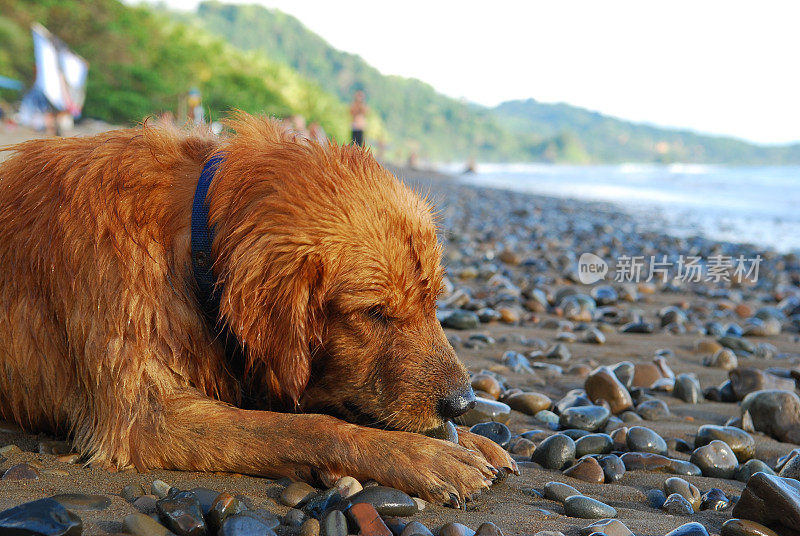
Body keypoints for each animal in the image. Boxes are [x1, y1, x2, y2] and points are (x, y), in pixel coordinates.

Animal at [0, 114, 516, 506]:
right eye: (373, 313)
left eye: (433, 302)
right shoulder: (144, 419)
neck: (190, 236)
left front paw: (470, 440)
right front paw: (425, 457)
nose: (464, 404)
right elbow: (312, 428)